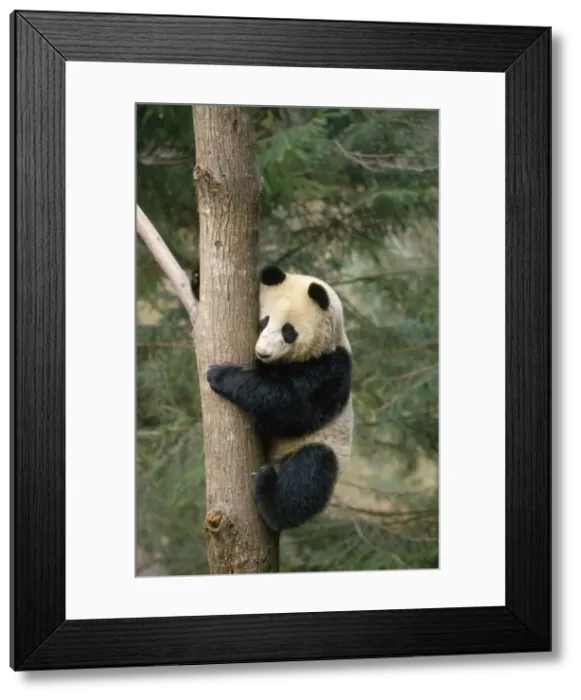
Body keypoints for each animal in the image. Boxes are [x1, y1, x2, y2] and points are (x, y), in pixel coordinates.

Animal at [202, 264, 354, 532]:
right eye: (264, 322)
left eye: (288, 331)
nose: (263, 352)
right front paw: (195, 281)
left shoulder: (332, 369)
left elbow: (291, 405)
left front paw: (220, 374)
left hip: (320, 449)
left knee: (310, 472)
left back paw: (270, 498)